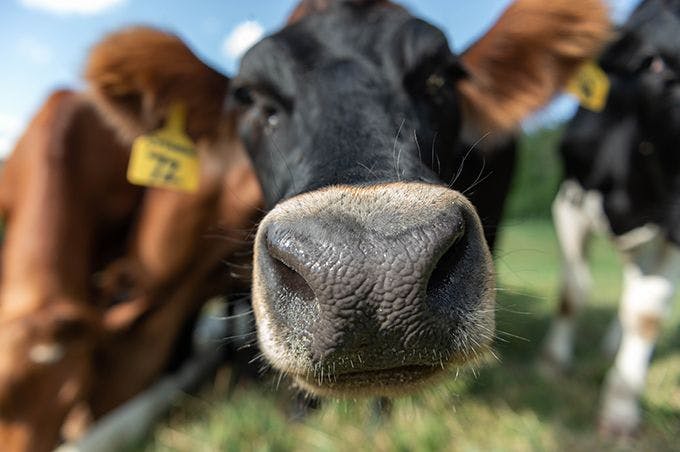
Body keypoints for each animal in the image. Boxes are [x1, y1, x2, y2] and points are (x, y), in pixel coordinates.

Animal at [540, 0, 680, 438]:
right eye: (653, 62)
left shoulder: (674, 228)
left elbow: (647, 314)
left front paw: (620, 408)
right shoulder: (569, 198)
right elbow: (572, 291)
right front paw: (553, 363)